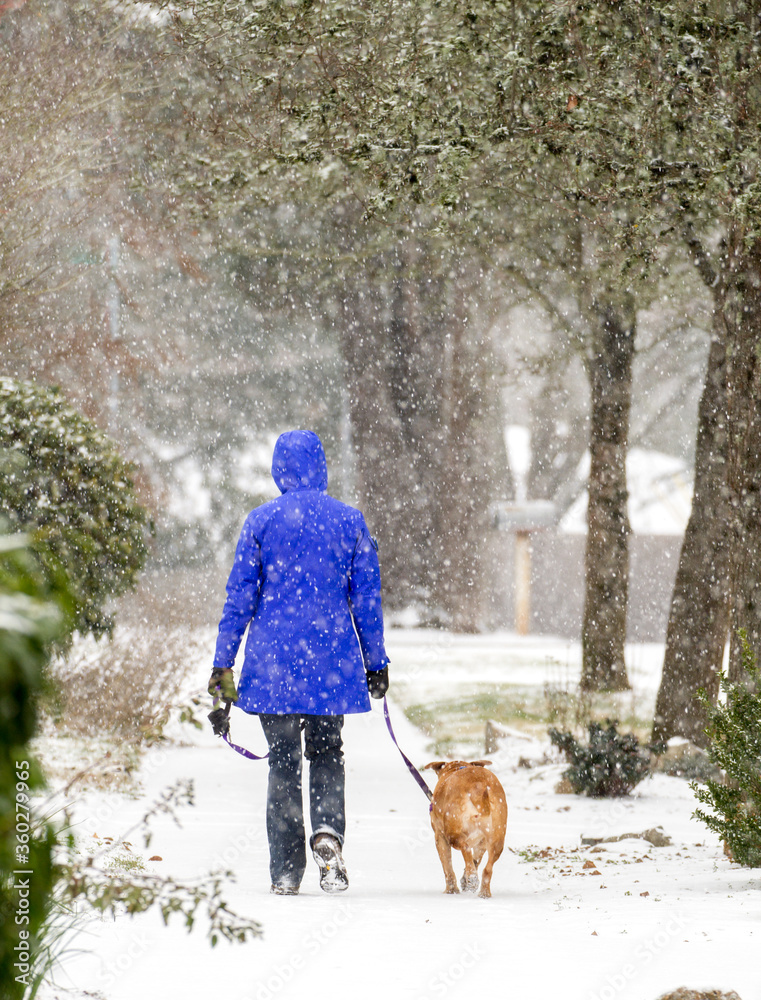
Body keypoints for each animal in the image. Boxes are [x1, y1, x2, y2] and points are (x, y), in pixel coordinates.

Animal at [422, 756, 504, 900]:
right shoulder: (481, 842)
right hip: (498, 838)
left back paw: (472, 878)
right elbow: (476, 859)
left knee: (465, 848)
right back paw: (484, 893)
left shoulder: (440, 837)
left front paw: (451, 890)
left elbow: (447, 867)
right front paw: (464, 882)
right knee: (487, 868)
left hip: (452, 834)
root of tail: (479, 785)